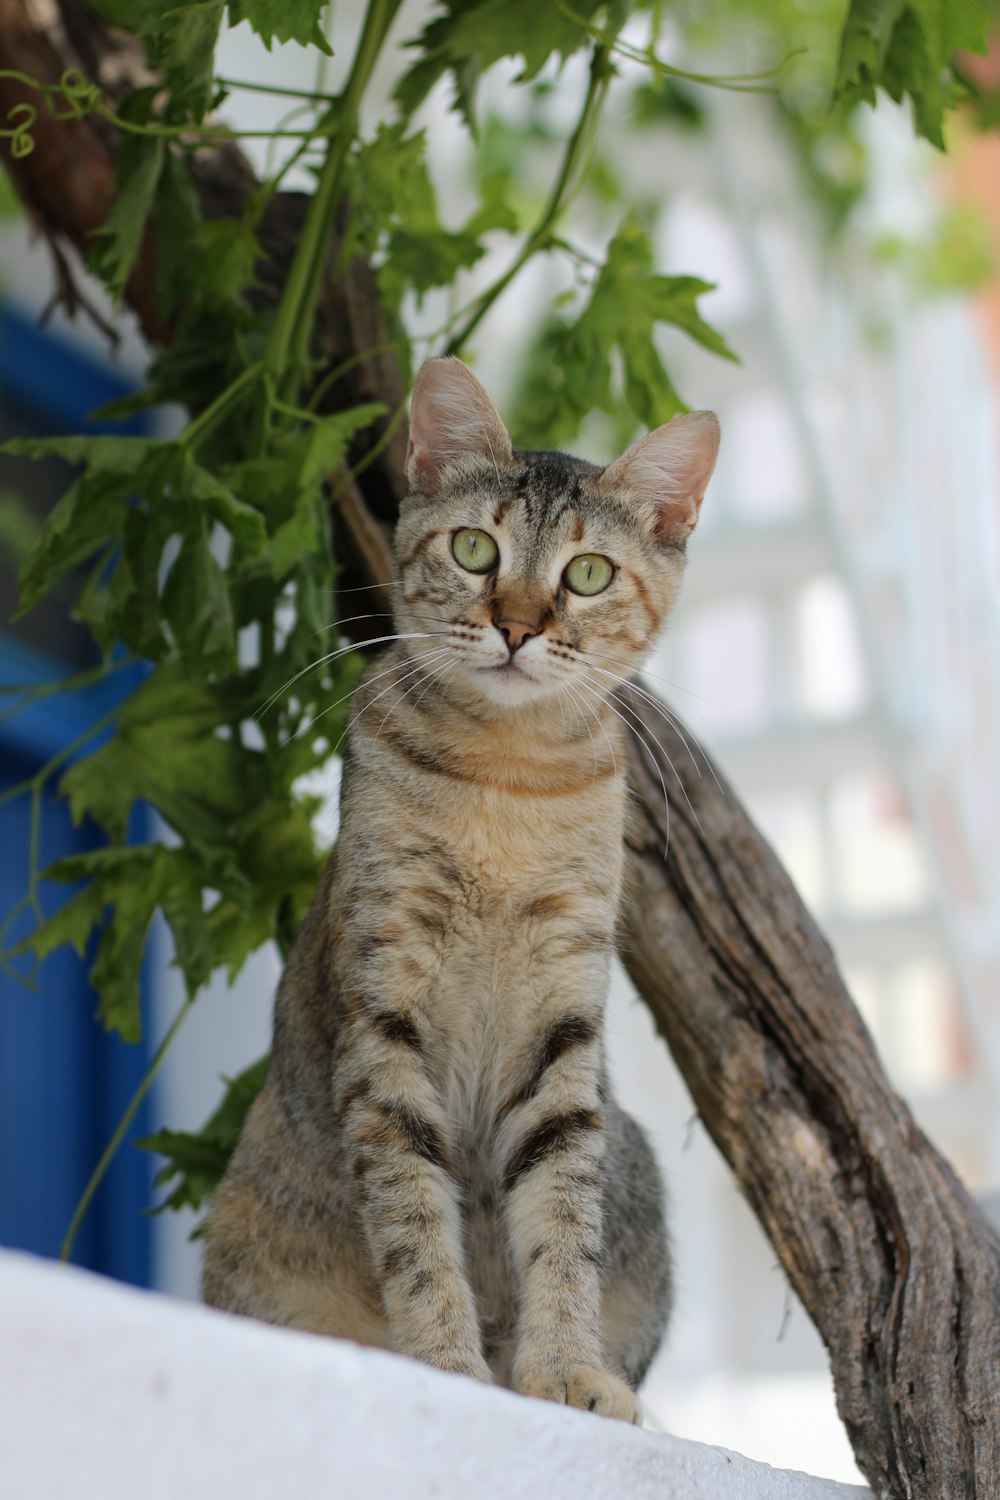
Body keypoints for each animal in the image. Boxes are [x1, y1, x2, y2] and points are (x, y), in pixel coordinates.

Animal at [203, 357, 719, 1422]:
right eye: (476, 550)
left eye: (588, 573)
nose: (517, 627)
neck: (505, 783)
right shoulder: (385, 1006)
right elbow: (411, 1215)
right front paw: (445, 1364)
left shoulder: (564, 1022)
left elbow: (562, 1216)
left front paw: (564, 1373)